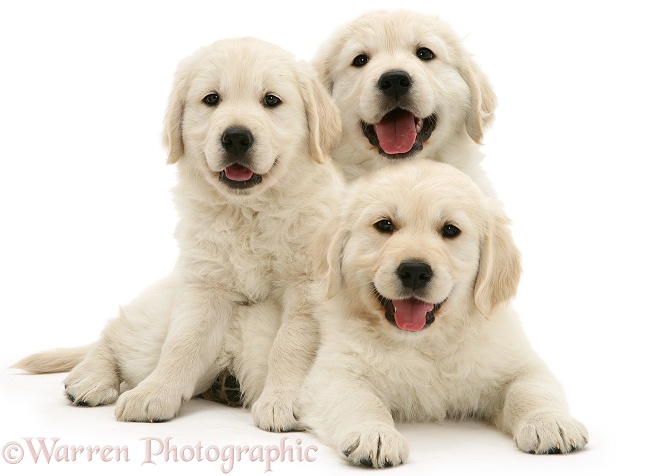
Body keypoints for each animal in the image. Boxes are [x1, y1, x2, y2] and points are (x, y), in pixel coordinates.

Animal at [13, 37, 342, 432]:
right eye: (211, 99)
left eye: (271, 100)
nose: (236, 137)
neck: (249, 211)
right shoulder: (204, 284)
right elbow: (182, 342)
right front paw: (155, 393)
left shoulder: (306, 286)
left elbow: (291, 342)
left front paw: (282, 401)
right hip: (156, 318)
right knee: (115, 335)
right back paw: (90, 378)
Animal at [298, 161, 588, 468]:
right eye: (384, 225)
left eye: (450, 230)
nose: (414, 271)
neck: (426, 343)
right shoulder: (334, 374)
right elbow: (360, 402)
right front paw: (373, 434)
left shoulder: (518, 362)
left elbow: (531, 390)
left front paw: (551, 422)